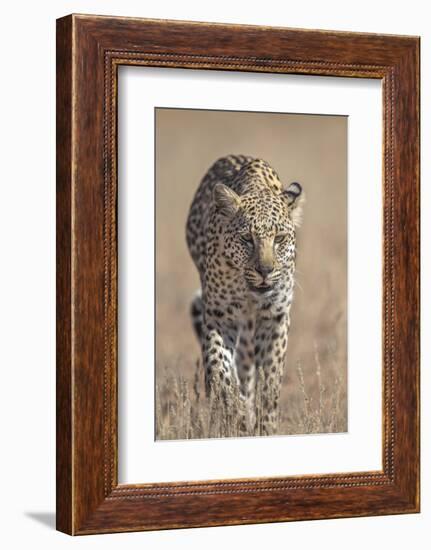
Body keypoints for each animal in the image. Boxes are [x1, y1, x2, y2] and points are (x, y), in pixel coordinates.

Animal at [186, 154, 304, 436]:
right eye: (247, 239)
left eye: (280, 238)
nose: (265, 271)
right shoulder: (219, 316)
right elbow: (219, 367)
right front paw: (233, 409)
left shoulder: (275, 317)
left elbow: (270, 378)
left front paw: (265, 426)